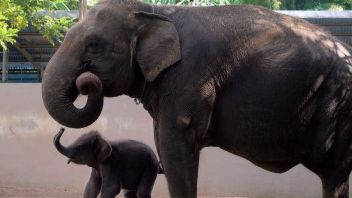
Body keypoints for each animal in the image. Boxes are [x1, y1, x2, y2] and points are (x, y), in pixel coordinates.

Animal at [42, 0, 352, 197]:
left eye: (94, 45)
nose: (85, 83)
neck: (155, 12)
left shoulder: (190, 78)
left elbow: (175, 146)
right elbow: (163, 145)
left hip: (341, 107)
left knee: (333, 174)